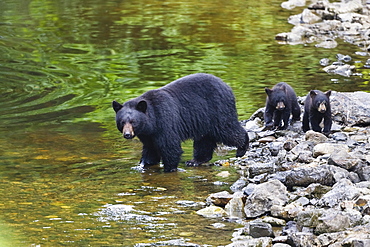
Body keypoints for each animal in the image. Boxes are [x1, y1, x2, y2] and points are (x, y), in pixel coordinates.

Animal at [112, 74, 249, 172]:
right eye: (122, 122)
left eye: (133, 122)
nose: (127, 134)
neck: (152, 121)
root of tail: (227, 86)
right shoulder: (148, 134)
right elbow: (150, 149)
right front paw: (143, 164)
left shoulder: (164, 121)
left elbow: (170, 146)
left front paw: (169, 169)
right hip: (204, 121)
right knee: (204, 140)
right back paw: (195, 161)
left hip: (217, 111)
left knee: (227, 130)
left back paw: (242, 148)